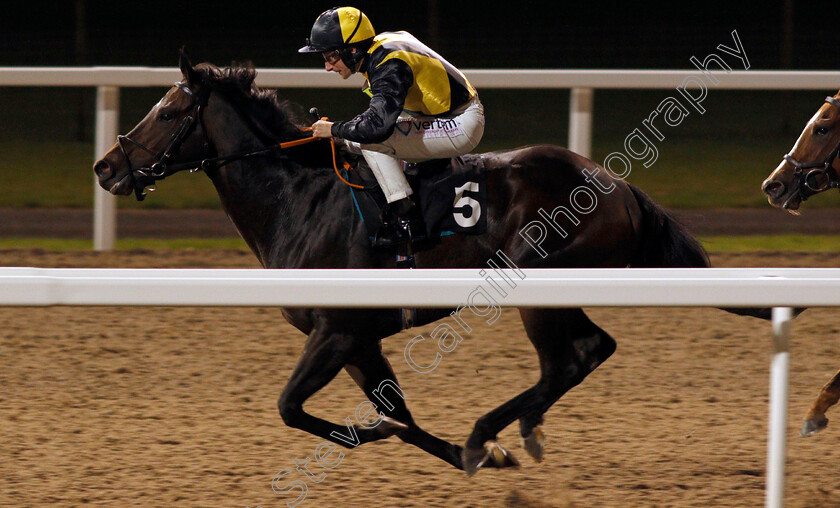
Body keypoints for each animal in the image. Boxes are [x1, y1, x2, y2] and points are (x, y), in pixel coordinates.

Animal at [93, 52, 768, 476]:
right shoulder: (359, 339)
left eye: (168, 112)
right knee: (587, 352)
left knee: (573, 356)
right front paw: (477, 456)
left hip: (539, 285)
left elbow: (295, 409)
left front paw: (442, 444)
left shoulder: (337, 331)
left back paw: (489, 429)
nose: (105, 166)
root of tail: (619, 185)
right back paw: (514, 432)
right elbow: (398, 415)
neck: (301, 197)